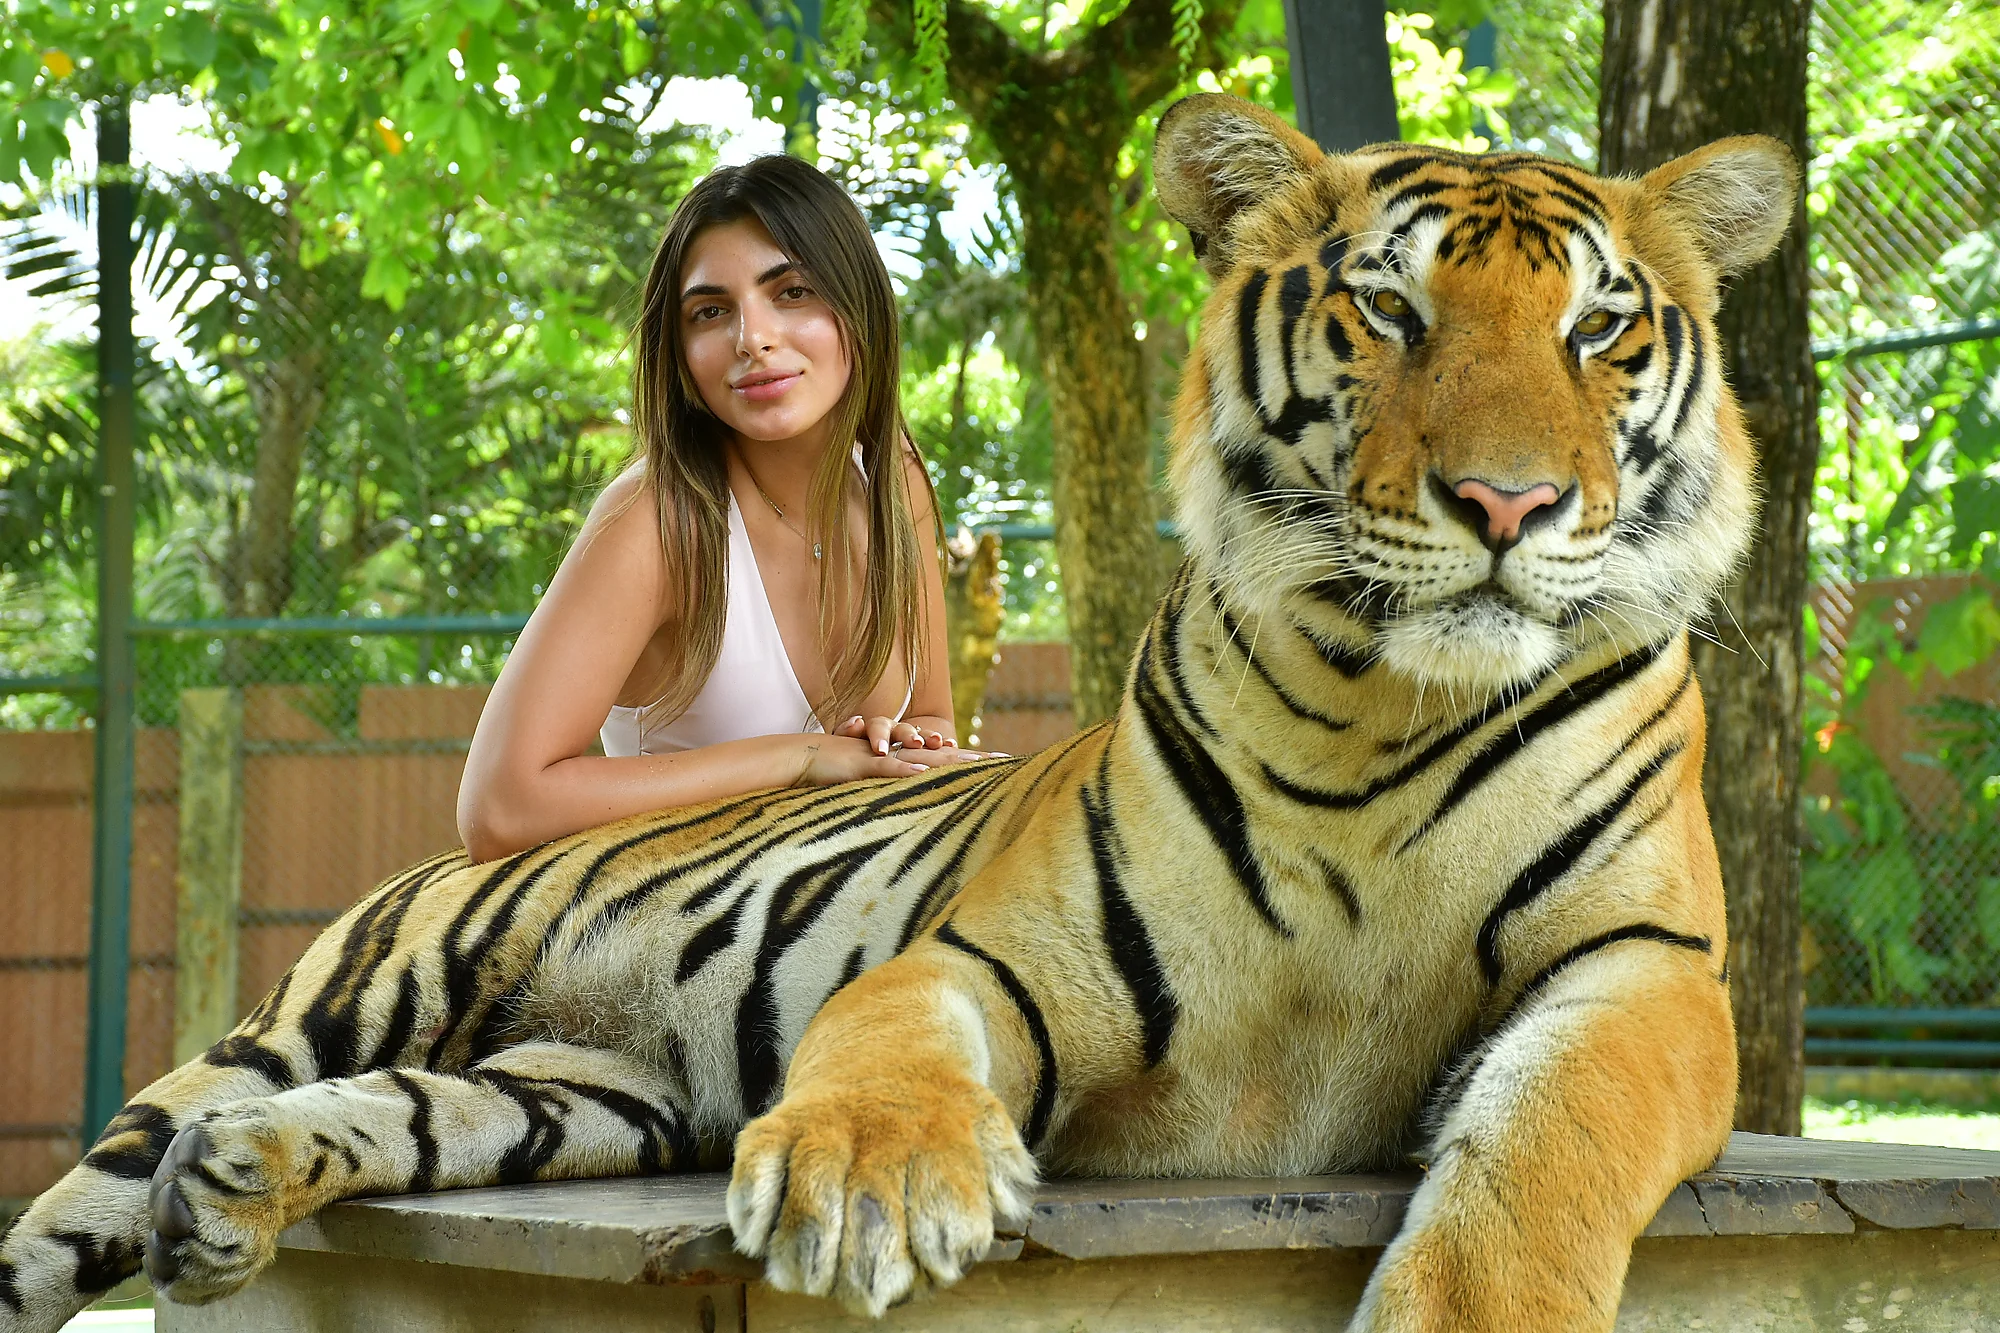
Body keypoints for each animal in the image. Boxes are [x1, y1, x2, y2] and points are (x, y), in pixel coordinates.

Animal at [0, 92, 1796, 1332]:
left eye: (1599, 327)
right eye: (1389, 310)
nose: (1508, 503)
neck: (1387, 705)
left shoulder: (1648, 971)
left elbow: (1549, 1147)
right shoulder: (1005, 945)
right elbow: (888, 1033)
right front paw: (865, 1182)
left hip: (566, 1090)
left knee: (384, 1115)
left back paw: (234, 1187)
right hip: (338, 1002)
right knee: (81, 1196)